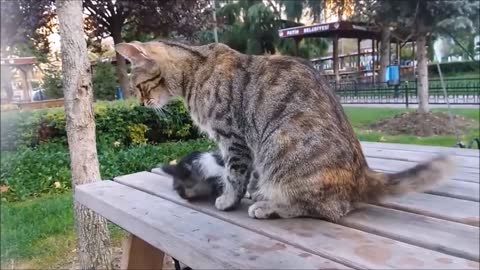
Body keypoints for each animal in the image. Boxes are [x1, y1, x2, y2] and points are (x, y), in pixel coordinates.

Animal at [115, 40, 454, 221]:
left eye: (138, 86)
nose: (140, 102)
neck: (195, 68)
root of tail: (362, 174)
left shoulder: (233, 139)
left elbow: (234, 175)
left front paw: (230, 199)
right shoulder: (246, 146)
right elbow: (247, 175)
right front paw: (250, 190)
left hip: (280, 147)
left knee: (324, 208)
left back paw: (268, 207)